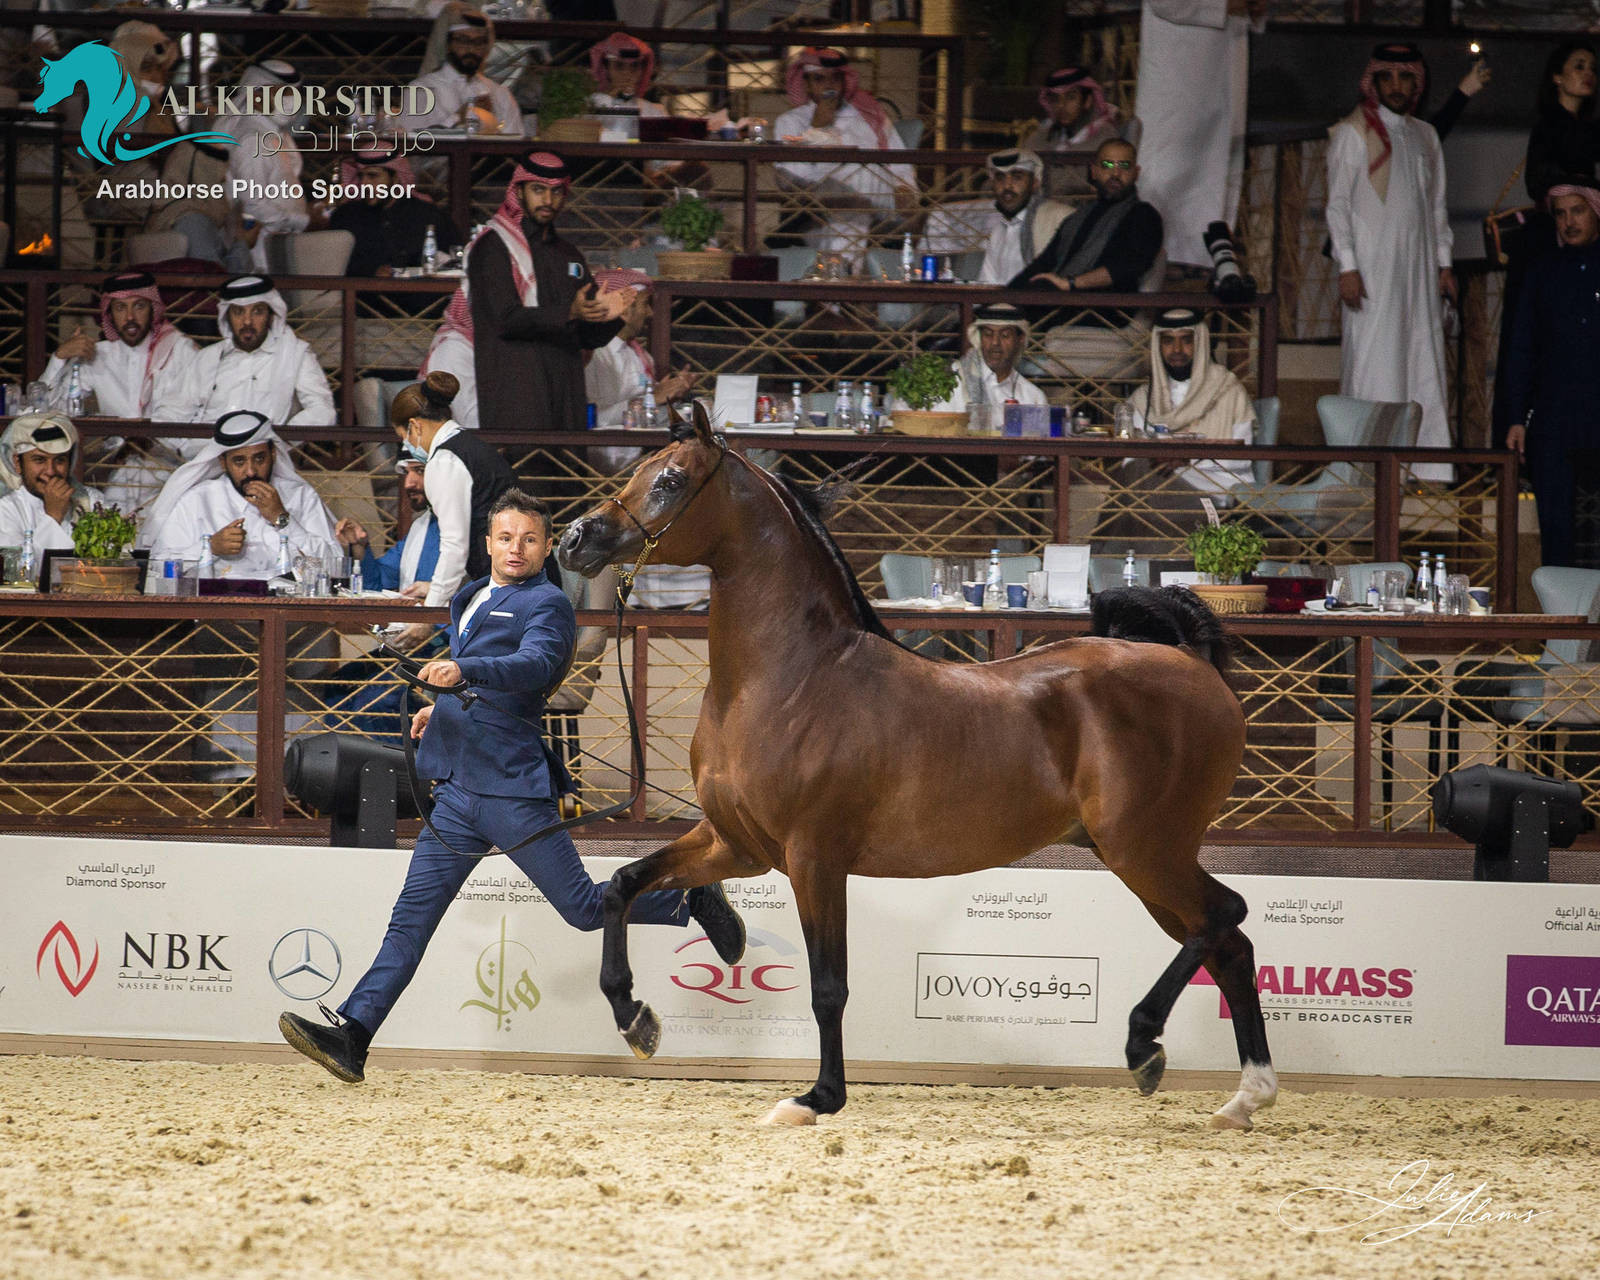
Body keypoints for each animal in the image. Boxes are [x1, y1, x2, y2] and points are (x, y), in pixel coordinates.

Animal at [556, 404, 1276, 1130]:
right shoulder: (737, 844)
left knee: (1226, 914)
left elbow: (828, 986)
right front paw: (638, 1018)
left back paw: (1145, 1043)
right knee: (1231, 945)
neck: (787, 681)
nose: (573, 539)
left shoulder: (814, 857)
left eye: (671, 480)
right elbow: (623, 883)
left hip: (1146, 850)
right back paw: (1244, 1097)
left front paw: (817, 1097)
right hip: (1136, 859)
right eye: (638, 469)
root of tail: (1193, 662)